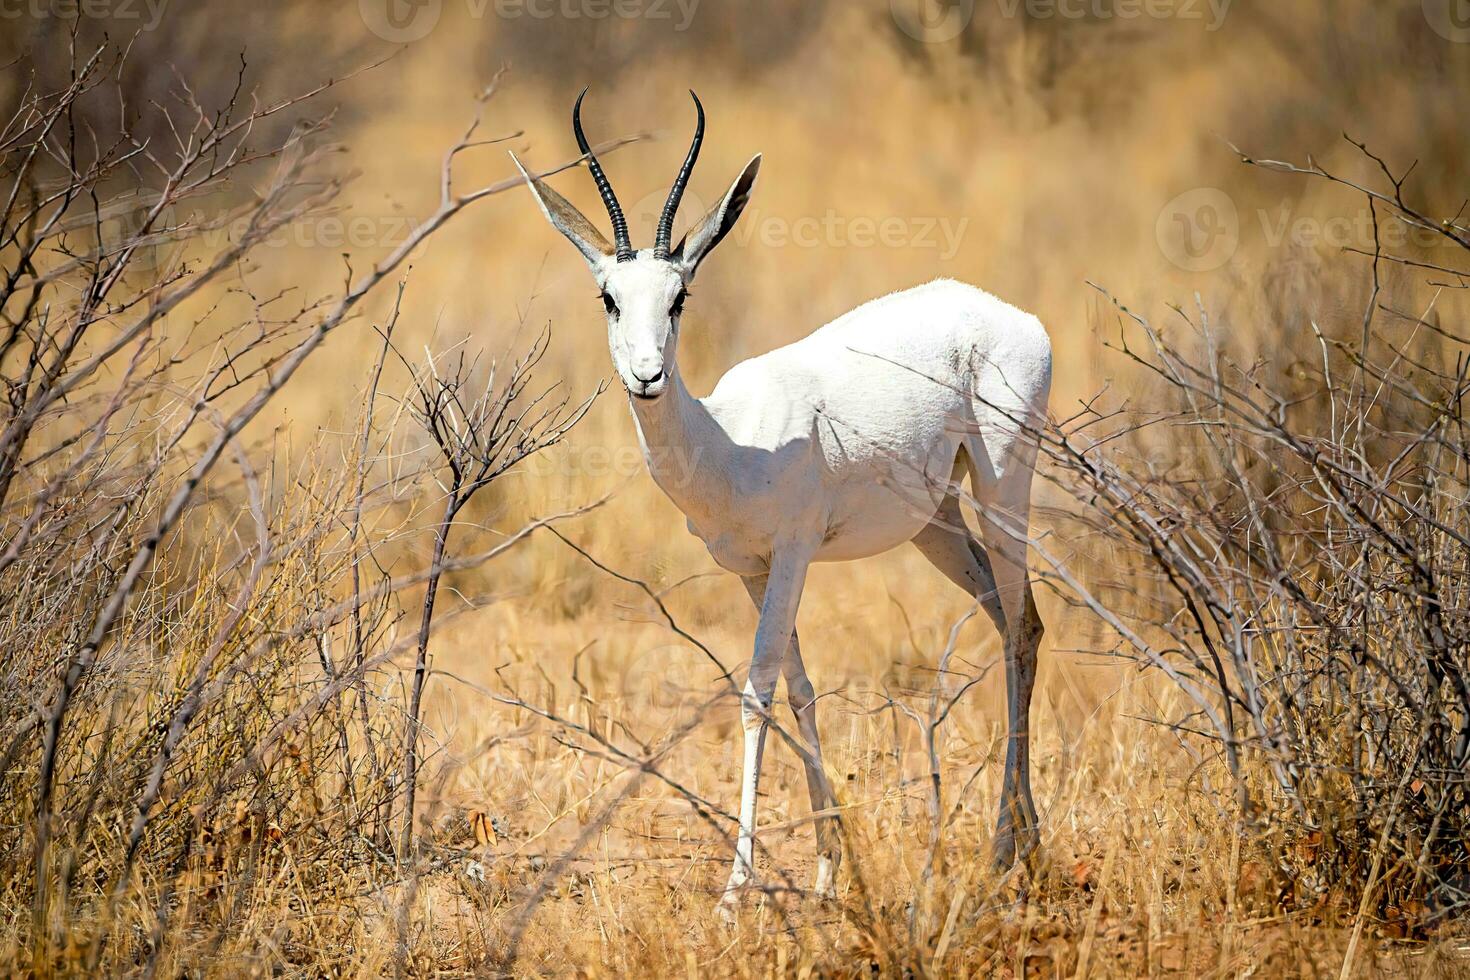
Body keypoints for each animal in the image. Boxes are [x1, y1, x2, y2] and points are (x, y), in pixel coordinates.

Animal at [511, 88, 1052, 916]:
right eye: (609, 297)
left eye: (680, 296)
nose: (647, 376)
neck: (732, 444)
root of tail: (1012, 316)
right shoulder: (750, 569)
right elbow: (800, 691)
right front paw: (832, 869)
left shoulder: (794, 555)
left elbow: (757, 693)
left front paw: (737, 889)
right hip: (937, 521)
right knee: (1013, 622)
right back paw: (1028, 843)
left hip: (1003, 488)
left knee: (1022, 626)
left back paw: (1001, 853)